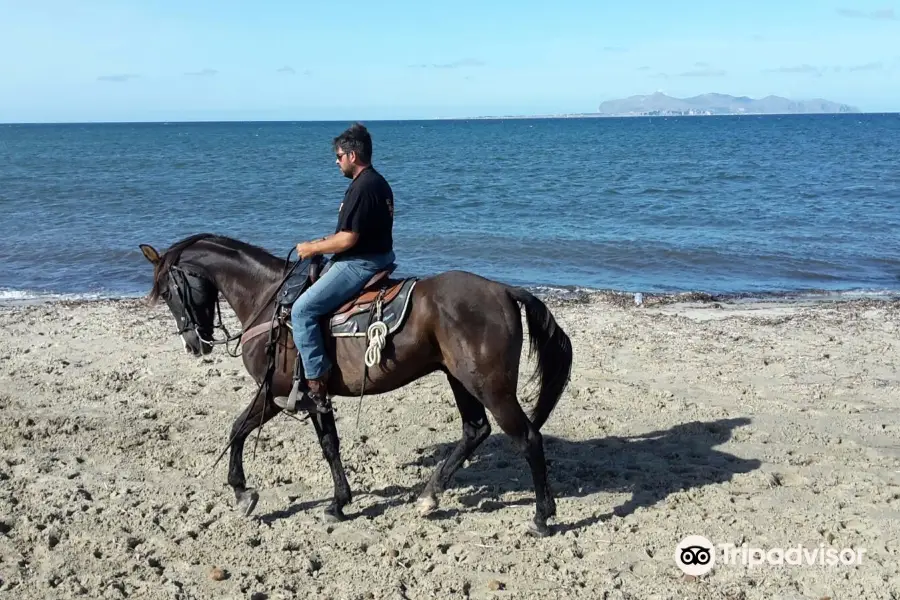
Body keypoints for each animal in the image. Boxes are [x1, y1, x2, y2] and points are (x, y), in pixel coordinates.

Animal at [141, 232, 572, 536]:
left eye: (169, 291)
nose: (194, 344)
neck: (270, 301)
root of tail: (504, 291)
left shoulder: (278, 392)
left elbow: (247, 431)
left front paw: (247, 492)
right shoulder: (304, 395)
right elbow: (310, 440)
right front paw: (328, 500)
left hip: (491, 387)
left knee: (527, 438)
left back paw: (541, 516)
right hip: (460, 379)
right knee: (475, 429)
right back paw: (429, 497)